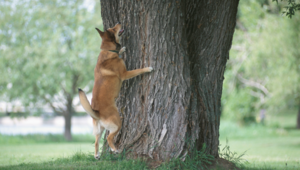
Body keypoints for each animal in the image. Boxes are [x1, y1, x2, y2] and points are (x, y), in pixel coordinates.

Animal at [78, 22, 154, 159]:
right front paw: (147, 68)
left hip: (99, 130)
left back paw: (97, 155)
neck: (108, 51)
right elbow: (138, 70)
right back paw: (115, 150)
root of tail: (97, 113)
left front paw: (122, 49)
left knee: (96, 141)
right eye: (113, 29)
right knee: (109, 138)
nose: (119, 23)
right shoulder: (125, 74)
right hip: (117, 123)